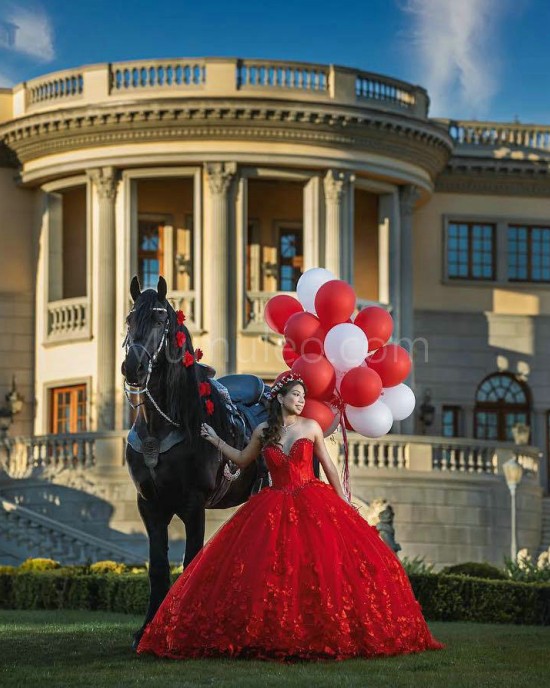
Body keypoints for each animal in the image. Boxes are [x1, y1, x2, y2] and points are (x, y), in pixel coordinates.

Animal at [122, 276, 268, 644]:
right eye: (129, 320)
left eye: (160, 320)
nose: (133, 367)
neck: (161, 427)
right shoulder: (149, 505)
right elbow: (158, 568)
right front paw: (147, 628)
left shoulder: (193, 504)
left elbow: (190, 564)